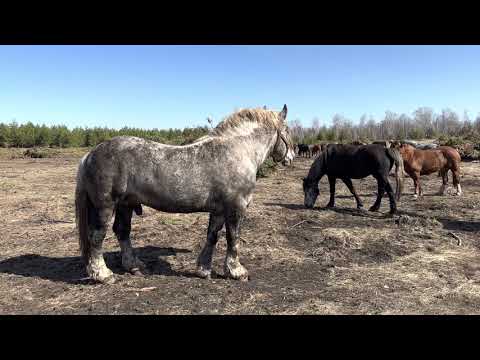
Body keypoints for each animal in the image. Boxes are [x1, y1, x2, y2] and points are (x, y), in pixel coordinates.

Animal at [75, 104, 294, 284]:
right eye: (288, 130)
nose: (291, 157)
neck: (237, 150)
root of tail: (89, 155)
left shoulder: (219, 210)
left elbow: (212, 236)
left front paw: (203, 269)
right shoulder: (236, 207)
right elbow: (233, 238)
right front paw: (236, 272)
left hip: (125, 205)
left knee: (122, 232)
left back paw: (134, 266)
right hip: (105, 206)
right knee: (97, 236)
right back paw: (103, 274)